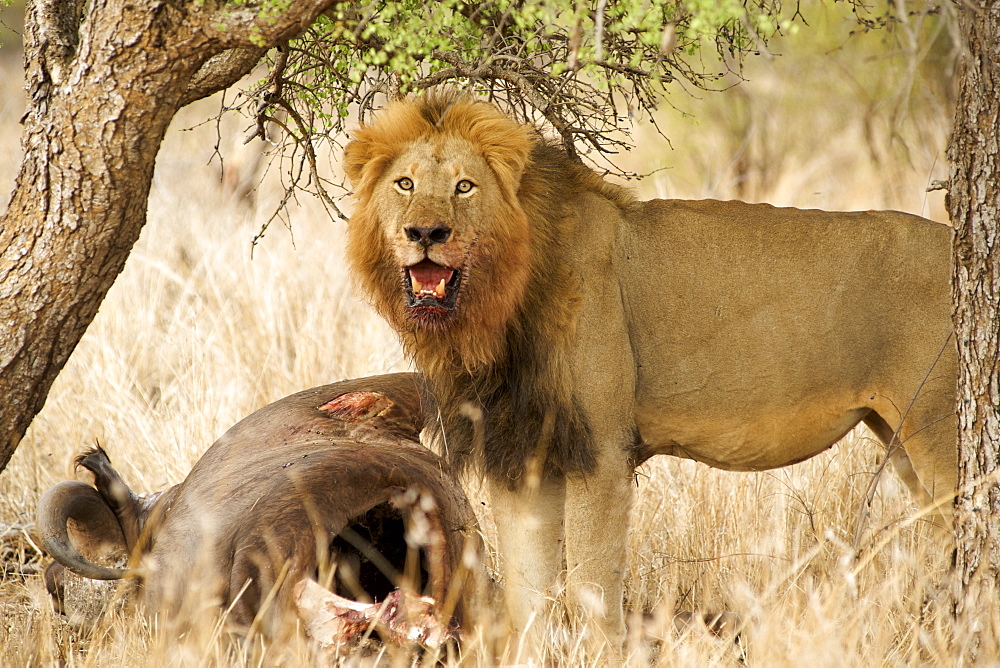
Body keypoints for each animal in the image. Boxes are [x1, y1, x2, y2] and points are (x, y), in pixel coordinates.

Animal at [342, 92, 952, 648]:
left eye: (464, 187)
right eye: (405, 185)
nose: (426, 233)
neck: (494, 310)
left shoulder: (602, 453)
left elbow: (590, 591)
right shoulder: (525, 454)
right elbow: (526, 598)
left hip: (936, 429)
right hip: (896, 436)